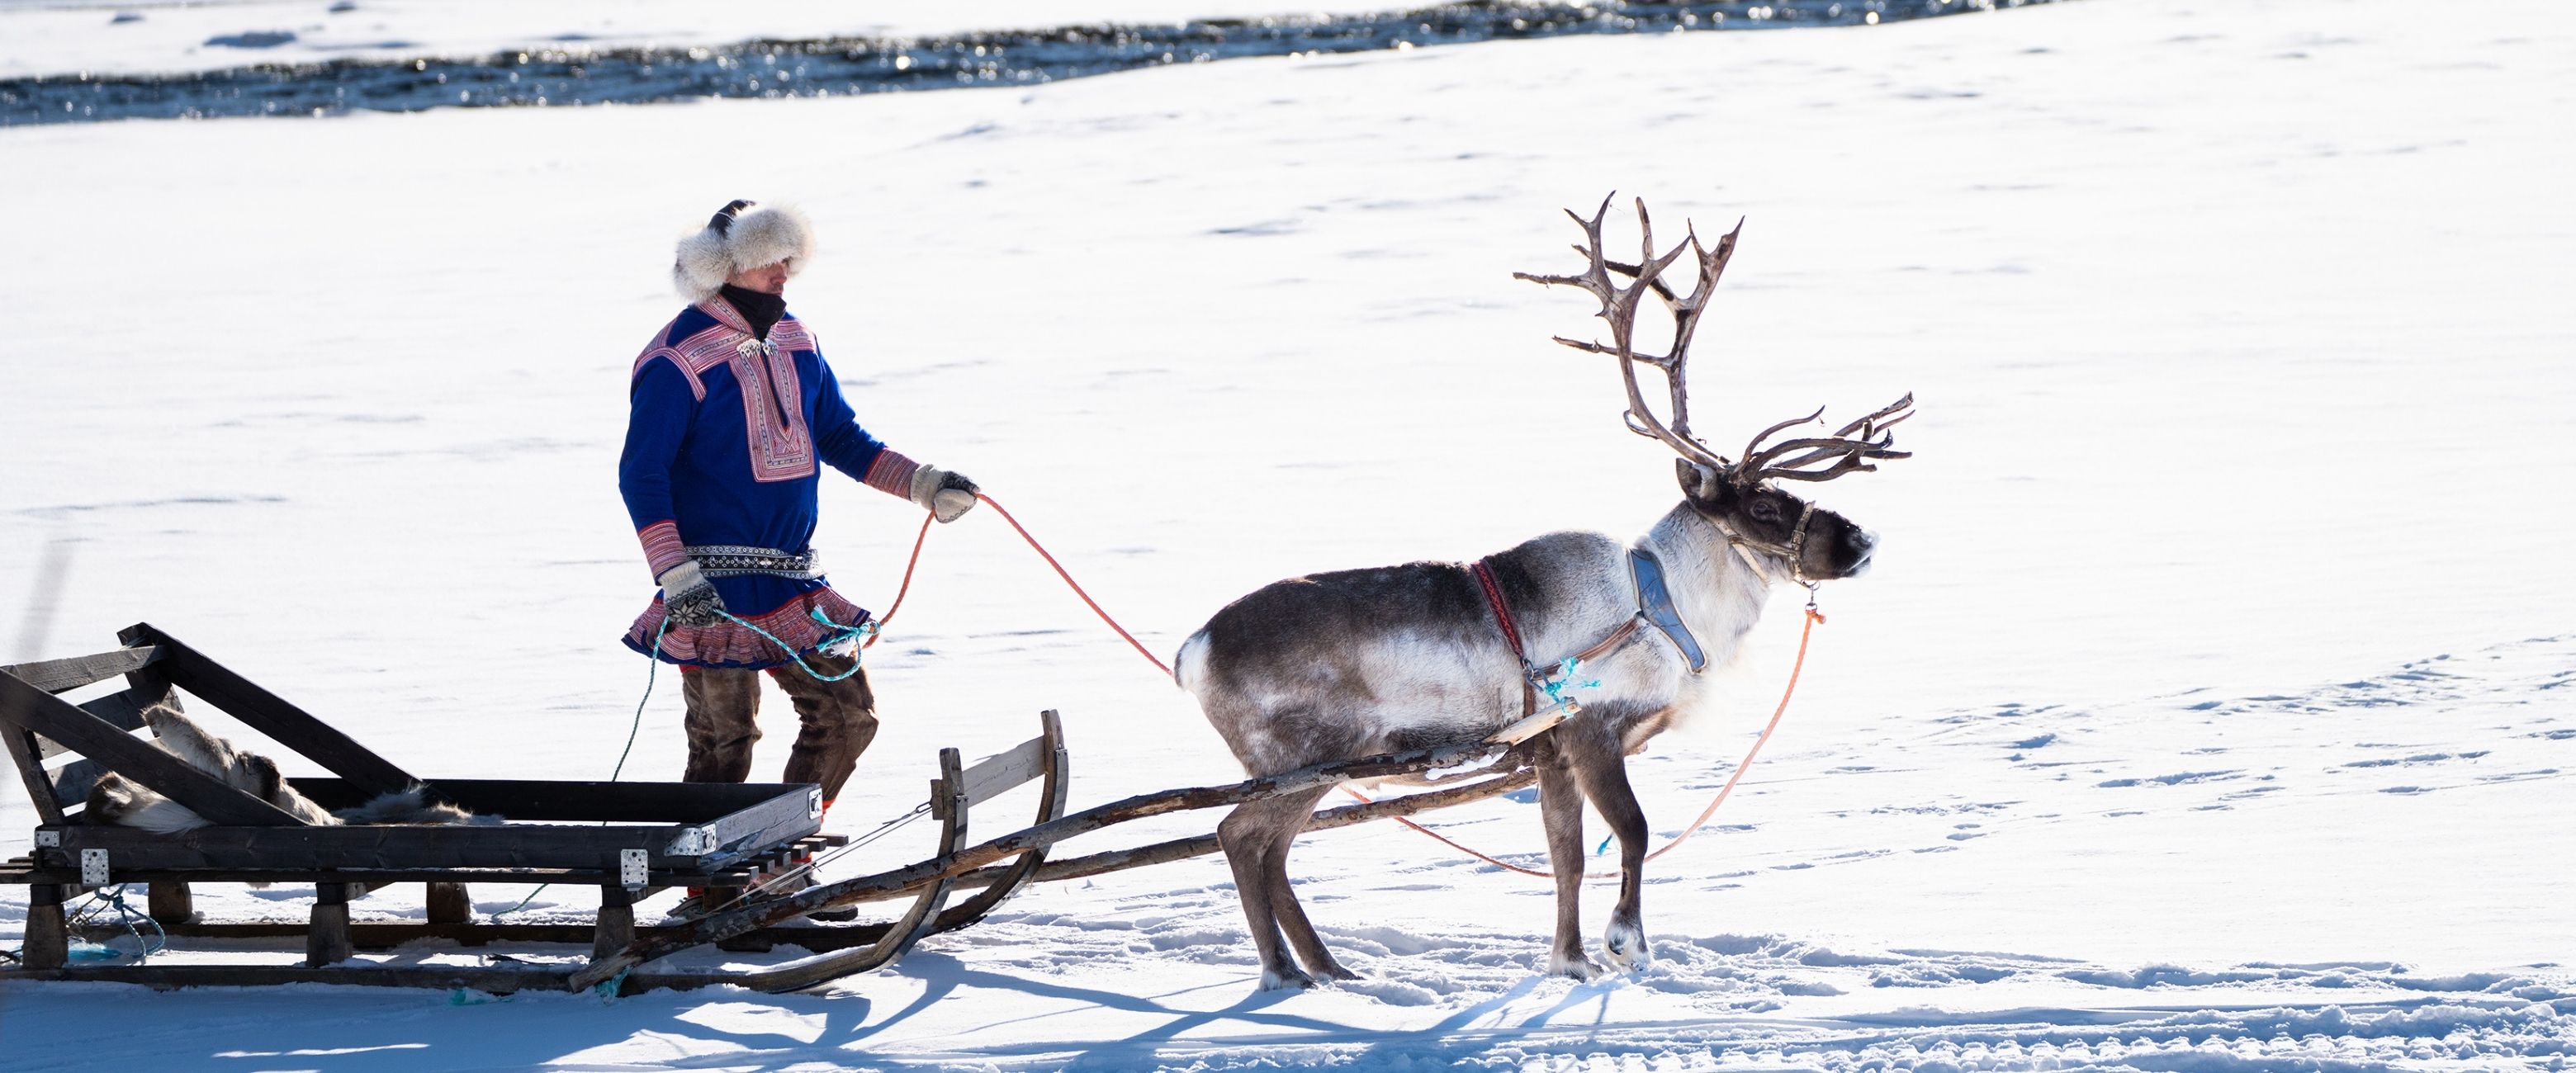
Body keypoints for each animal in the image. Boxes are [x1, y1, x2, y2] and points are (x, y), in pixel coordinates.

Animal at [1172, 196, 1913, 990]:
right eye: (1765, 505)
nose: (1864, 542)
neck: (1665, 607)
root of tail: (1193, 652)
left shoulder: (1550, 755)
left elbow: (1566, 859)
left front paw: (1570, 960)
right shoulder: (1591, 732)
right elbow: (1633, 832)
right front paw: (1626, 944)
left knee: (1270, 849)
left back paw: (1331, 970)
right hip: (1302, 758)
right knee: (1238, 835)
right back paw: (1285, 975)